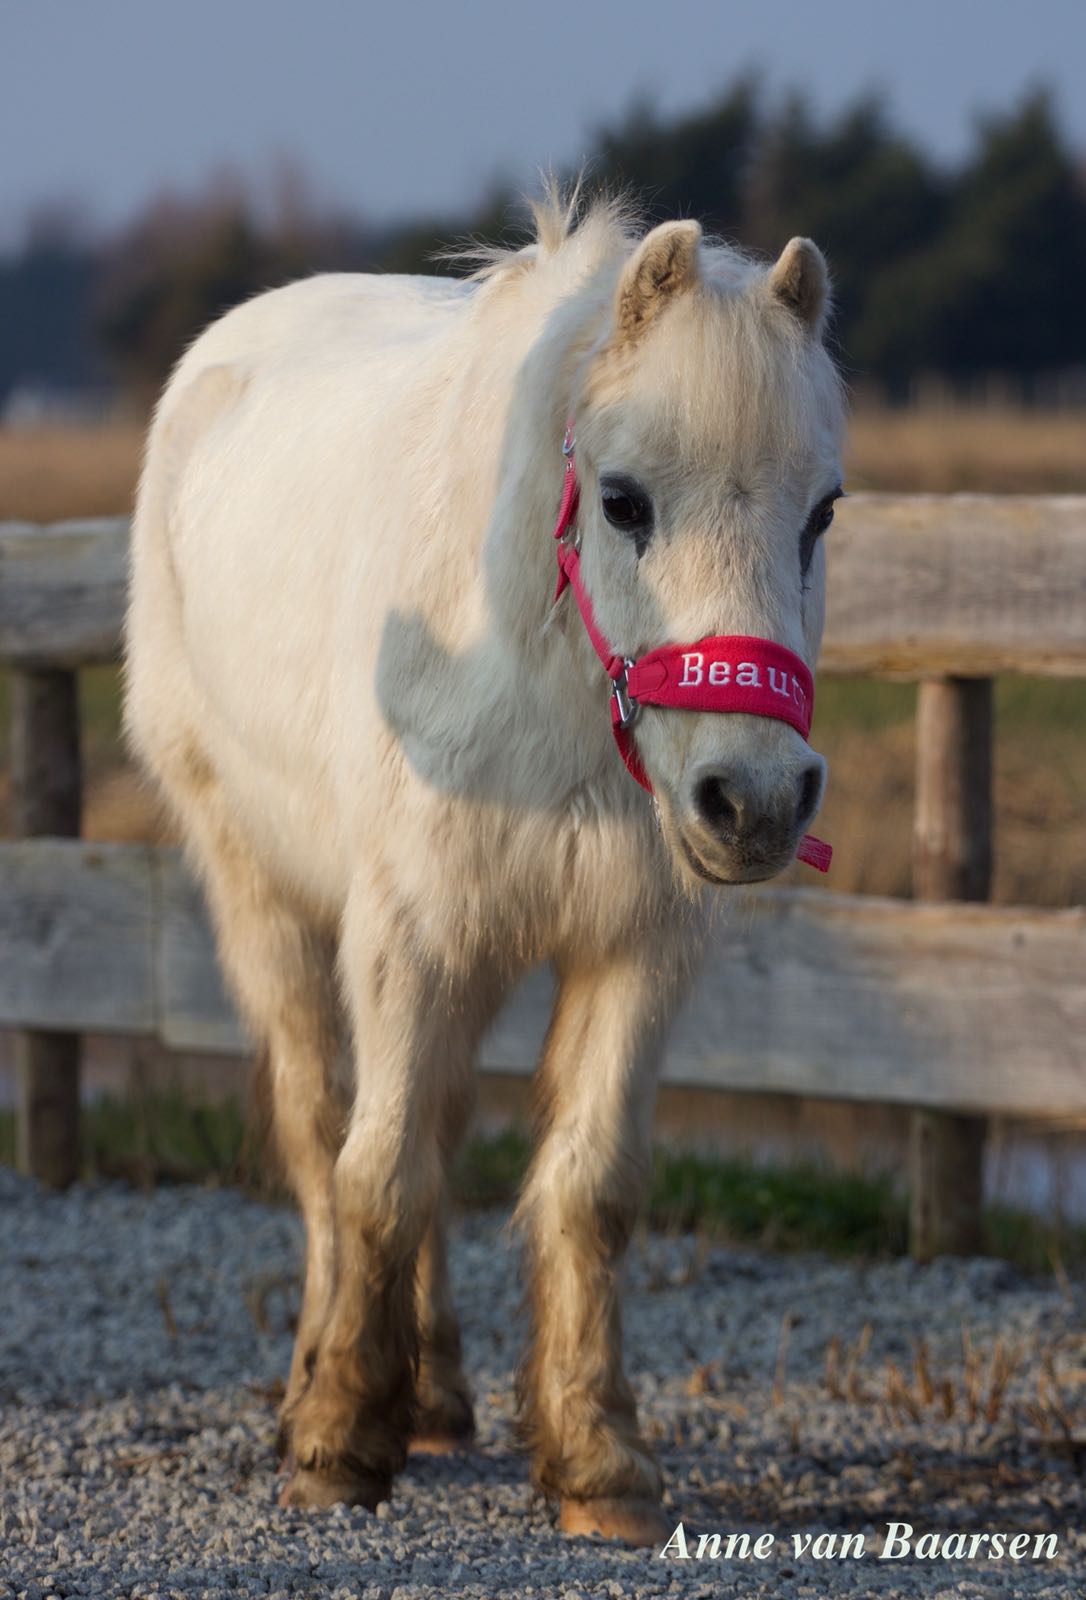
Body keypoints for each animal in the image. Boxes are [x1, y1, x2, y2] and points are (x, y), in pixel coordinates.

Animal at [123, 187, 844, 1548]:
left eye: (820, 512)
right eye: (624, 500)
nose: (755, 800)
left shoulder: (633, 948)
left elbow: (585, 1187)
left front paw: (597, 1457)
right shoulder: (407, 934)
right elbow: (376, 1171)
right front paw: (337, 1441)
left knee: (441, 1126)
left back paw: (437, 1394)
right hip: (257, 892)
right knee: (325, 1129)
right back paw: (323, 1383)